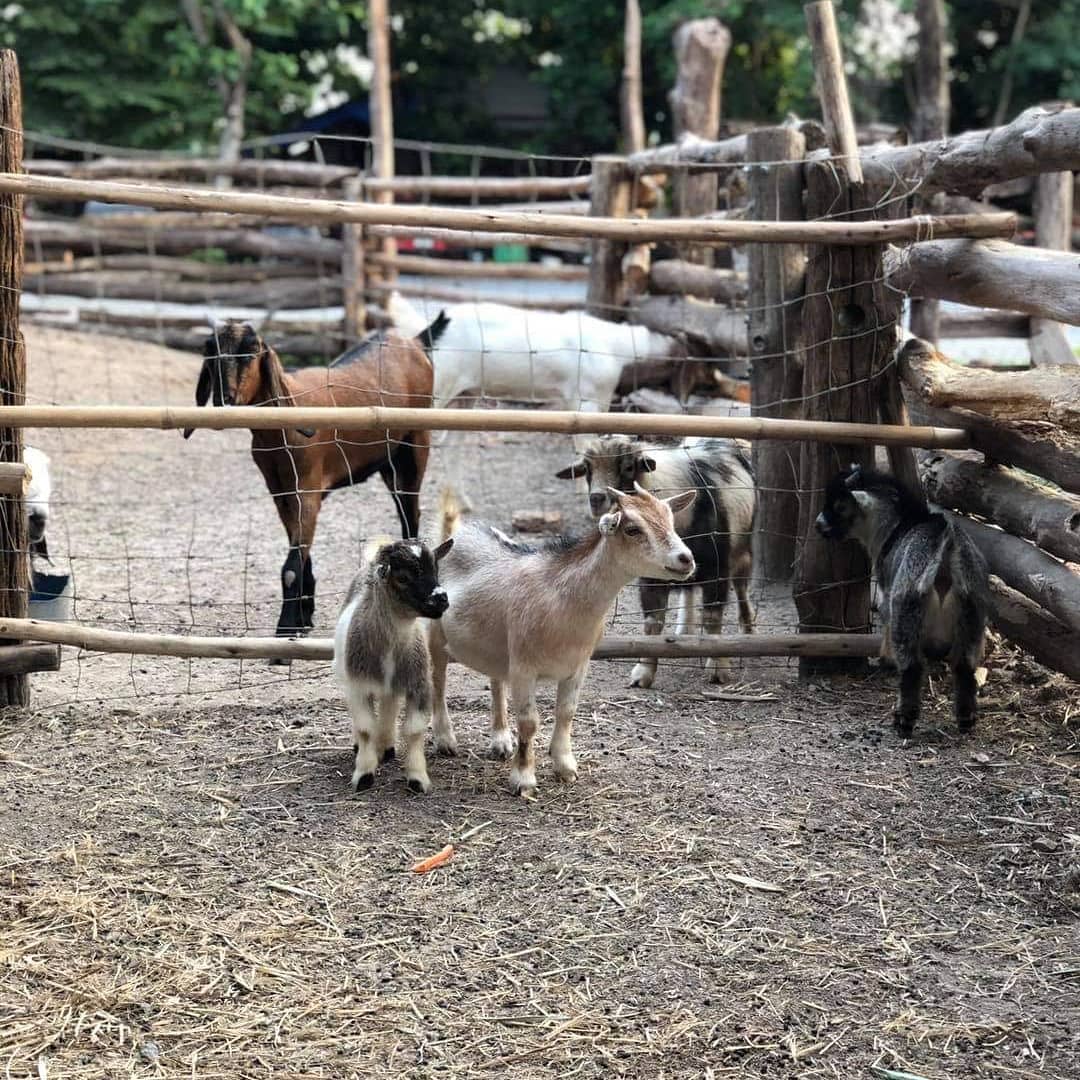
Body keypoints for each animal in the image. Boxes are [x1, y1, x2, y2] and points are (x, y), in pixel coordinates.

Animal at [184, 317, 447, 638]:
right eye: (209, 352)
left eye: (252, 351)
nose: (225, 401)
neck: (283, 427)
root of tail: (415, 342)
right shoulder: (282, 493)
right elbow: (301, 553)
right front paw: (304, 615)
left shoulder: (307, 488)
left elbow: (291, 567)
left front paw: (286, 627)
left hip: (415, 446)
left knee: (410, 512)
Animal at [333, 536, 453, 794]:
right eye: (402, 577)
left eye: (436, 569)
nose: (442, 599)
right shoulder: (358, 687)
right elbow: (366, 728)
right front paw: (364, 774)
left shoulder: (419, 684)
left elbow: (415, 730)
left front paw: (417, 778)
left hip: (398, 682)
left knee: (389, 706)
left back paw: (387, 746)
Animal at [429, 483, 696, 798]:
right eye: (632, 529)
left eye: (671, 521)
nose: (686, 559)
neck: (563, 601)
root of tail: (453, 534)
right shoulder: (524, 668)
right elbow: (529, 722)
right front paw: (523, 780)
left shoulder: (577, 666)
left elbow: (566, 713)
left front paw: (565, 767)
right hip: (435, 637)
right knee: (438, 682)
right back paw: (445, 740)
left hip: (497, 646)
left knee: (495, 682)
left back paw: (501, 741)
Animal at [557, 435, 756, 687]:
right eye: (587, 469)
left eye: (628, 466)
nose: (597, 499)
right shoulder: (651, 576)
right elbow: (653, 623)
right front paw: (643, 673)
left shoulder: (716, 570)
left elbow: (712, 618)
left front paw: (718, 668)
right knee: (688, 590)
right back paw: (685, 630)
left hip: (741, 552)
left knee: (741, 587)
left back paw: (747, 630)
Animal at [815, 464, 989, 736]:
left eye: (838, 506)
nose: (818, 525)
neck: (893, 527)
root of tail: (946, 545)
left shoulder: (887, 592)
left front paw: (885, 660)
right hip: (972, 608)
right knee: (964, 666)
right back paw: (966, 719)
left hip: (907, 603)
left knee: (912, 666)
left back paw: (903, 720)